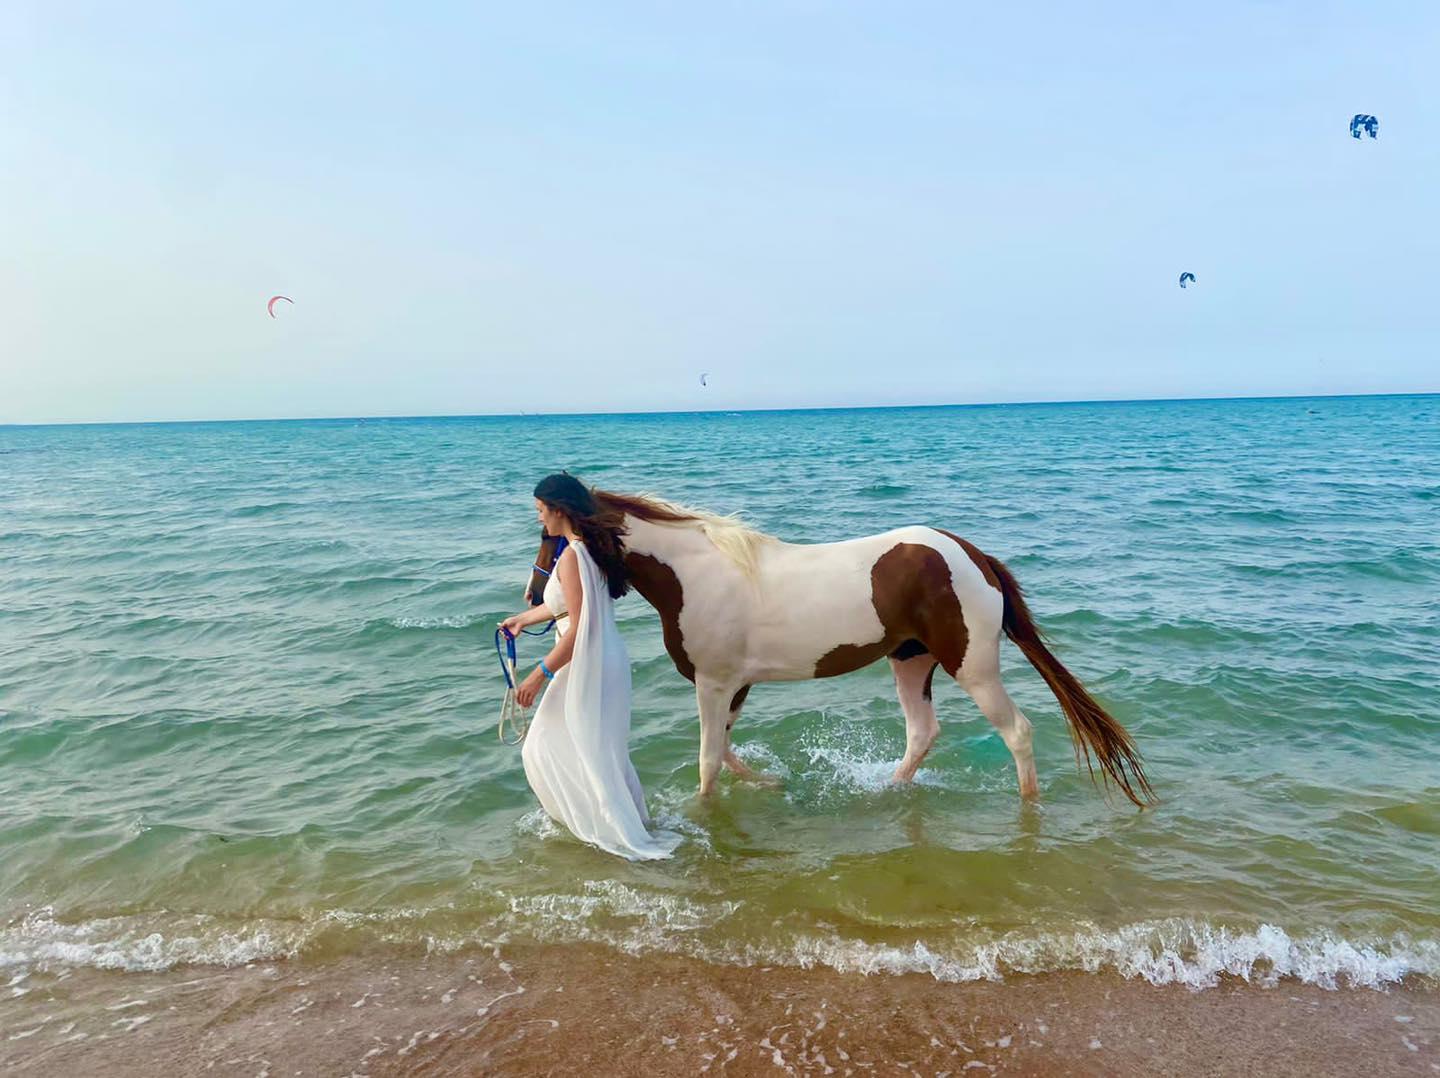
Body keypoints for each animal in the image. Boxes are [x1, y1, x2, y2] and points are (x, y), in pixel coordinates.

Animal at [524, 490, 1155, 807]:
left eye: (553, 535)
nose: (534, 597)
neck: (696, 573)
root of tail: (972, 554)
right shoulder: (734, 686)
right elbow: (724, 752)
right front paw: (771, 785)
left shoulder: (715, 683)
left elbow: (708, 760)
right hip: (911, 660)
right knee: (922, 733)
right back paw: (888, 791)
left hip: (972, 667)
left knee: (1017, 732)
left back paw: (1027, 806)